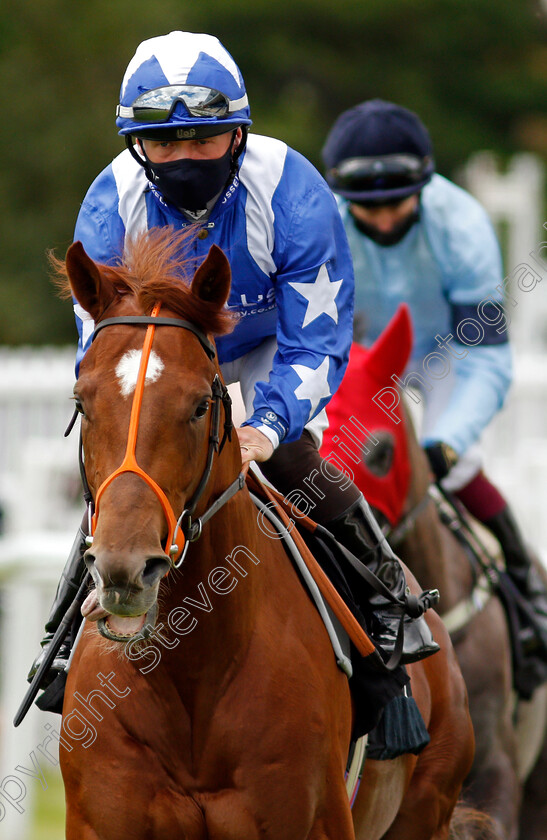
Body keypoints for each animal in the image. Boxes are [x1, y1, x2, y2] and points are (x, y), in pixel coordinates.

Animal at [56, 230, 476, 840]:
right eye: (82, 403)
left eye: (199, 405)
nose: (124, 568)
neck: (191, 676)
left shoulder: (308, 817)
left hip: (428, 808)